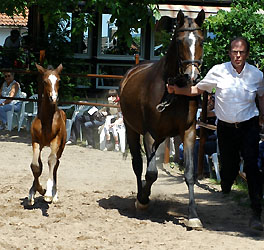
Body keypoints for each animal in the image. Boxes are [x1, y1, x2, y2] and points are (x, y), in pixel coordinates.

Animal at [28, 64, 66, 205]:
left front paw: (48, 193)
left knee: (56, 163)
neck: (47, 119)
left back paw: (54, 194)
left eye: (59, 80)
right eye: (44, 81)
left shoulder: (55, 140)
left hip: (61, 146)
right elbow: (35, 165)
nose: (53, 98)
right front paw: (36, 190)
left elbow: (51, 160)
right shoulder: (36, 141)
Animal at [120, 9, 206, 229]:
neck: (172, 90)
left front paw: (193, 215)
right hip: (132, 130)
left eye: (201, 40)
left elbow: (189, 173)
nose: (192, 76)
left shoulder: (188, 131)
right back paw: (141, 196)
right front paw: (143, 199)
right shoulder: (149, 133)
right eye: (179, 41)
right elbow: (151, 173)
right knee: (138, 164)